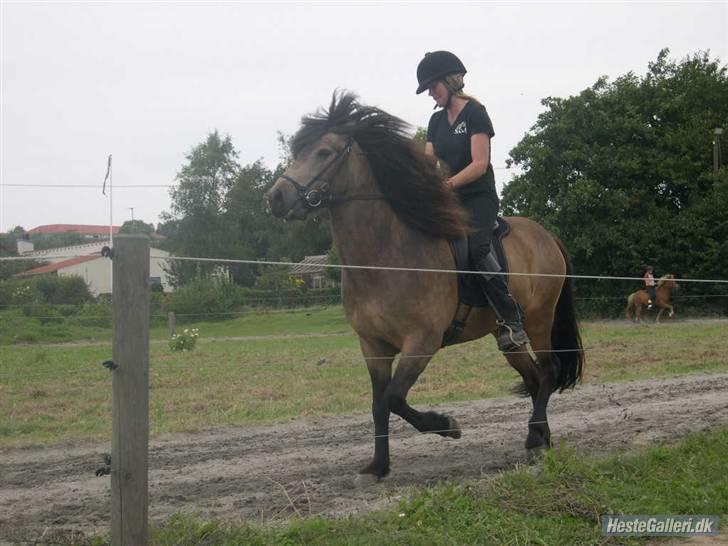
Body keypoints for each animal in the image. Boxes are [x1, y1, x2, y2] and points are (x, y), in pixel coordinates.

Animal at [264, 93, 584, 480]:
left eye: (324, 152)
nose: (276, 197)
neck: (385, 256)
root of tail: (546, 235)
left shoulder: (421, 342)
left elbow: (394, 398)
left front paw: (447, 425)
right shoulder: (373, 346)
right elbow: (378, 405)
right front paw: (378, 466)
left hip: (539, 319)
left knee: (549, 370)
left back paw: (536, 436)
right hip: (504, 337)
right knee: (536, 378)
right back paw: (540, 437)